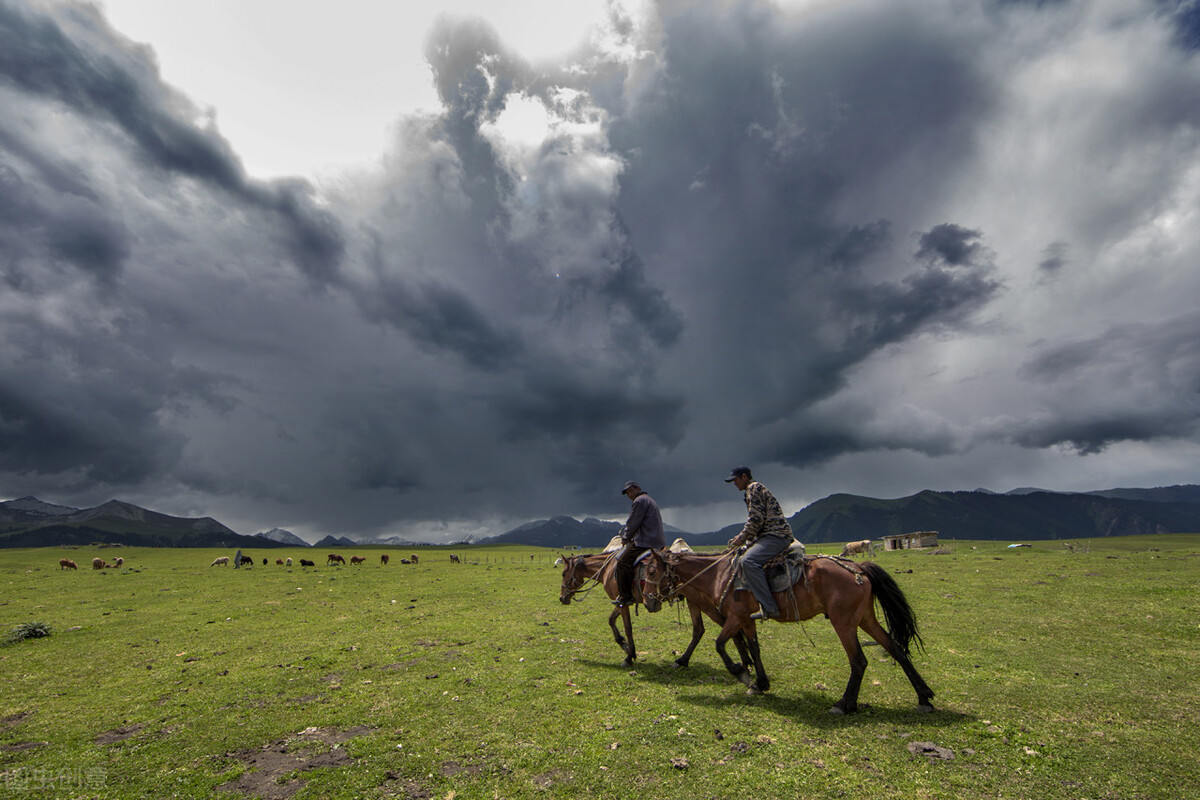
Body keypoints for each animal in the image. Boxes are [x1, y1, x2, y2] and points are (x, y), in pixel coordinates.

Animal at [559, 554, 748, 671]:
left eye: (563, 573)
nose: (561, 598)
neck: (608, 569)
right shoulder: (621, 601)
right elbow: (611, 620)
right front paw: (624, 645)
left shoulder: (622, 602)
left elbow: (627, 627)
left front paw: (629, 655)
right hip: (693, 602)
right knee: (699, 630)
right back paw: (683, 661)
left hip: (702, 602)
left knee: (726, 625)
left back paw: (744, 662)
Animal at [643, 551, 931, 714]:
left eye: (652, 570)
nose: (648, 602)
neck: (718, 574)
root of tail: (858, 568)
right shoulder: (747, 619)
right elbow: (754, 648)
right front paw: (760, 683)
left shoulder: (735, 617)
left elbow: (720, 644)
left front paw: (741, 674)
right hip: (865, 618)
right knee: (895, 648)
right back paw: (924, 697)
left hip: (845, 622)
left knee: (858, 660)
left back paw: (844, 704)